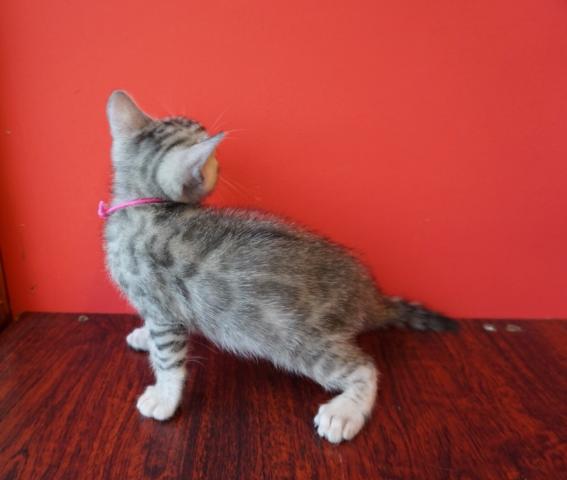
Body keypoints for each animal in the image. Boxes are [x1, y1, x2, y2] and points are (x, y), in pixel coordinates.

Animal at [102, 91, 457, 444]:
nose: (220, 161)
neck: (142, 209)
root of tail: (369, 296)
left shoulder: (163, 309)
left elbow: (168, 360)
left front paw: (163, 398)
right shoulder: (161, 310)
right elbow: (161, 345)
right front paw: (145, 339)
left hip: (300, 342)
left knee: (365, 368)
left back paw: (344, 413)